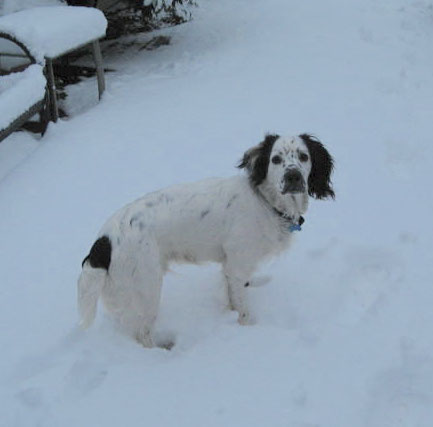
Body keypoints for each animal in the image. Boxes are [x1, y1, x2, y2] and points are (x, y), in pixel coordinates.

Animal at [77, 134, 334, 348]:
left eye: (304, 156)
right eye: (276, 159)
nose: (293, 176)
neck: (266, 203)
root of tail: (103, 242)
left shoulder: (232, 267)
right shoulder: (237, 266)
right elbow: (243, 309)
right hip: (147, 289)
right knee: (143, 334)